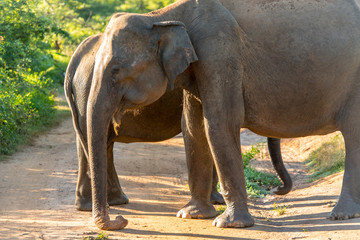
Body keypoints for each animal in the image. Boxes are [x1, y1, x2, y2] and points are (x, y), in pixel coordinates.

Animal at [63, 32, 292, 211]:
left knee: (92, 142)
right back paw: (111, 202)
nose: (277, 189)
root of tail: (76, 56)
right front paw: (216, 201)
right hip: (88, 92)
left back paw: (98, 204)